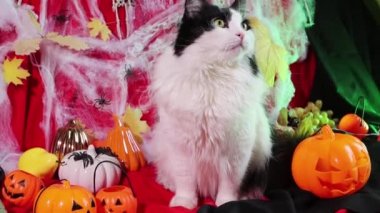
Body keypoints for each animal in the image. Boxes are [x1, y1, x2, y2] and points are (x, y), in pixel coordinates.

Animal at [145, 0, 274, 210]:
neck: (215, 77)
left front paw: (227, 203)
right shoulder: (181, 147)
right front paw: (184, 203)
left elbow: (229, 183)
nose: (241, 34)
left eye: (245, 26)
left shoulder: (237, 151)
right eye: (219, 23)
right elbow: (185, 181)